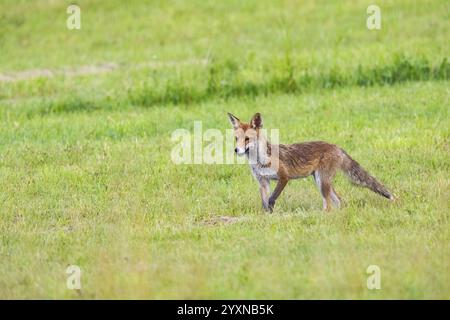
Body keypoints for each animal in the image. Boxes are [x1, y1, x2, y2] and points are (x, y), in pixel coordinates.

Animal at [229, 112, 394, 212]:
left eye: (247, 139)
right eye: (236, 139)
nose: (236, 150)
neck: (259, 160)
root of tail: (336, 146)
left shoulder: (284, 177)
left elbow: (272, 199)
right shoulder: (263, 182)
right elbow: (264, 203)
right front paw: (267, 217)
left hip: (322, 182)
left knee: (328, 206)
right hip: (320, 181)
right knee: (339, 202)